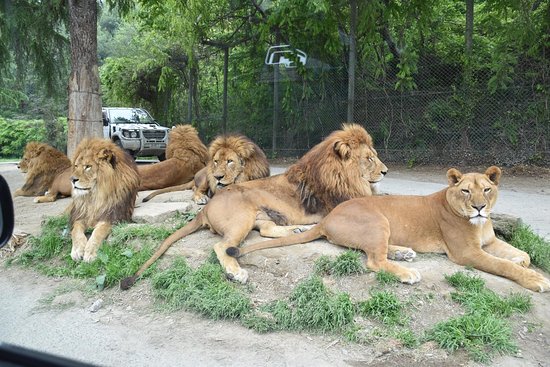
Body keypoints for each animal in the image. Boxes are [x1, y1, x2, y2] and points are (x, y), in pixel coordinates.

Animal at [142, 134, 272, 204]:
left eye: (230, 161)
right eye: (216, 161)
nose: (217, 177)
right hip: (206, 176)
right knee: (196, 191)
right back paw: (201, 198)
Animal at [232, 167, 550, 294]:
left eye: (486, 189)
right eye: (465, 191)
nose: (480, 207)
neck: (480, 223)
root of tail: (328, 216)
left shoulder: (489, 241)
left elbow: (517, 253)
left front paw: (522, 259)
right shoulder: (467, 253)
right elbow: (502, 266)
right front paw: (535, 279)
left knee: (379, 252)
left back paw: (404, 253)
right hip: (379, 222)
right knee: (374, 260)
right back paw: (407, 272)